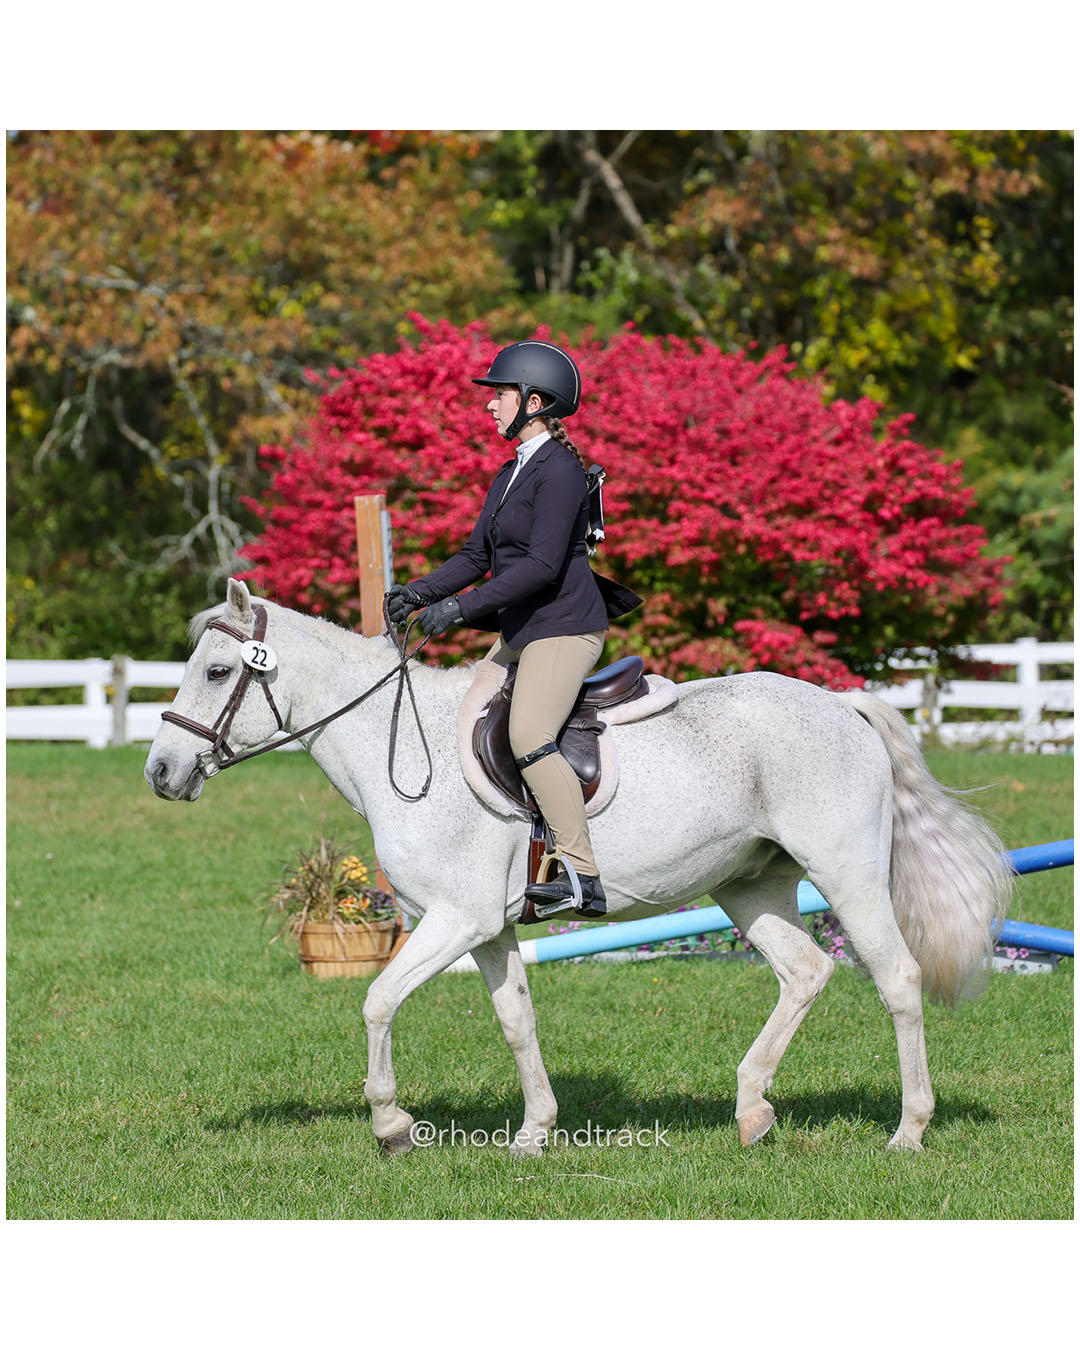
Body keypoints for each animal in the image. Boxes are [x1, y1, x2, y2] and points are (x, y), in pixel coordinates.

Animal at [144, 578, 1011, 1157]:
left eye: (217, 673)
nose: (160, 772)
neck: (400, 746)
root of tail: (841, 702)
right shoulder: (489, 929)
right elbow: (516, 1021)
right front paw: (534, 1132)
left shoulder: (454, 920)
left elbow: (378, 1000)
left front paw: (391, 1126)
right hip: (749, 883)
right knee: (804, 971)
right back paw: (751, 1110)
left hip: (845, 872)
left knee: (895, 978)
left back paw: (908, 1130)